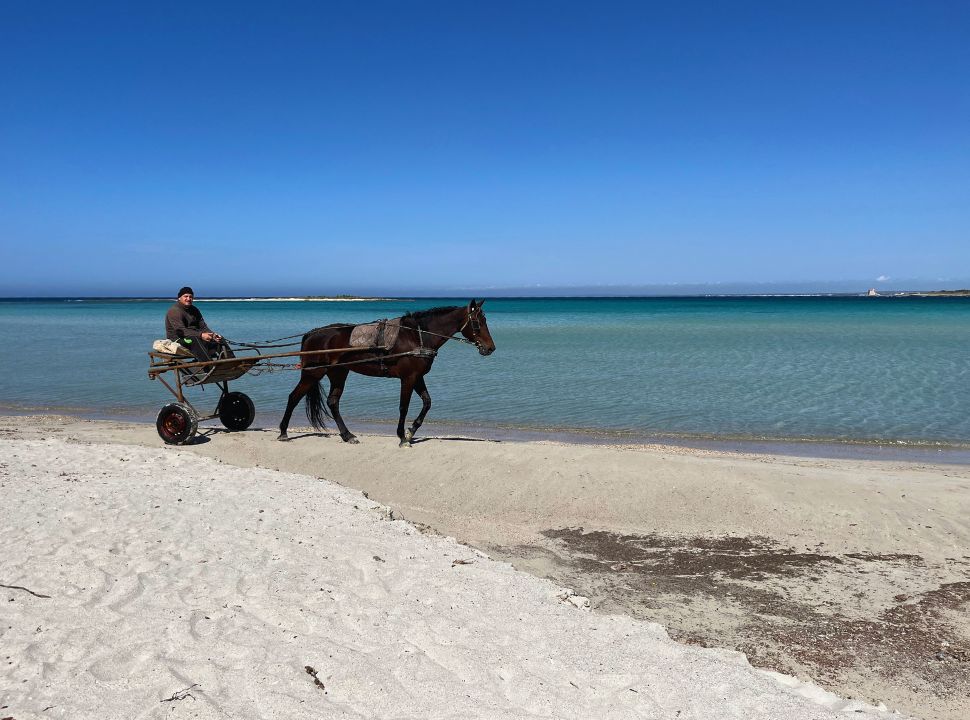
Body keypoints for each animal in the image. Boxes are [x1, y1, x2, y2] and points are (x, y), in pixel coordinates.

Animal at [278, 300, 492, 448]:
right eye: (477, 322)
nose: (491, 348)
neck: (417, 337)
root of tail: (311, 333)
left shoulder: (417, 377)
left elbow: (427, 403)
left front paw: (411, 431)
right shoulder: (408, 378)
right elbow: (403, 407)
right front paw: (402, 437)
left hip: (338, 373)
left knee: (333, 402)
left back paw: (347, 435)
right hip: (313, 373)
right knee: (294, 397)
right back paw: (283, 432)